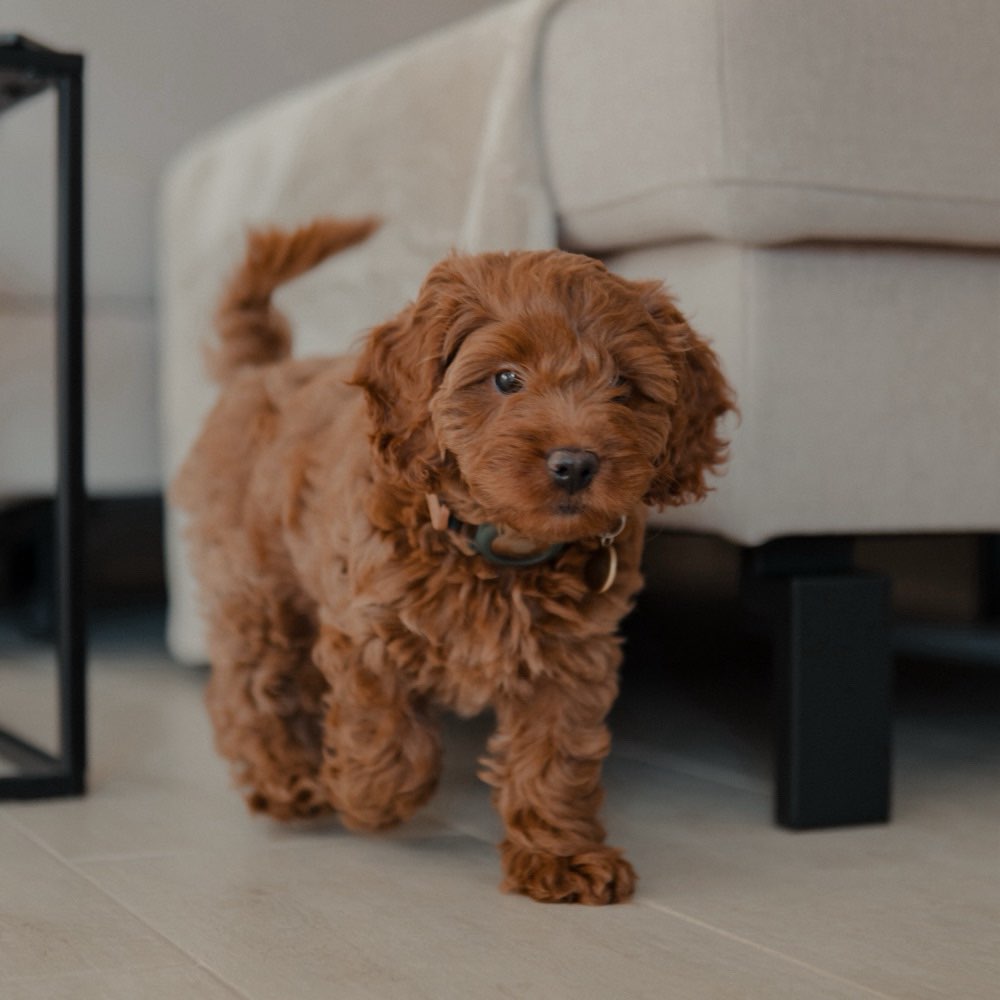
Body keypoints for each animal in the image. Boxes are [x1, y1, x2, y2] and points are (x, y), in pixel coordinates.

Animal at [174, 221, 736, 908]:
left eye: (624, 388)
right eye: (505, 379)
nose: (575, 464)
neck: (500, 545)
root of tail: (264, 368)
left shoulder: (572, 657)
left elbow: (557, 755)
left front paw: (560, 855)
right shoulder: (369, 622)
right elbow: (387, 730)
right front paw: (367, 796)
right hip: (256, 583)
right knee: (253, 686)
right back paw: (288, 778)